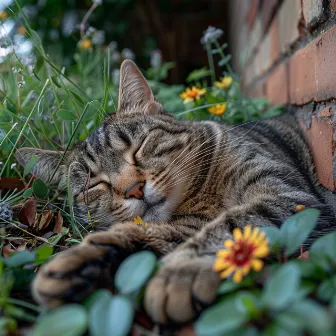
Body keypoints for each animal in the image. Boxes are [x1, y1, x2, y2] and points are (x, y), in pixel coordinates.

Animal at [16, 61, 336, 326]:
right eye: (94, 185)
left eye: (139, 147)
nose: (134, 189)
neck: (203, 195)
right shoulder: (184, 225)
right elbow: (151, 234)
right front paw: (83, 260)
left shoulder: (290, 199)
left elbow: (233, 226)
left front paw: (181, 270)